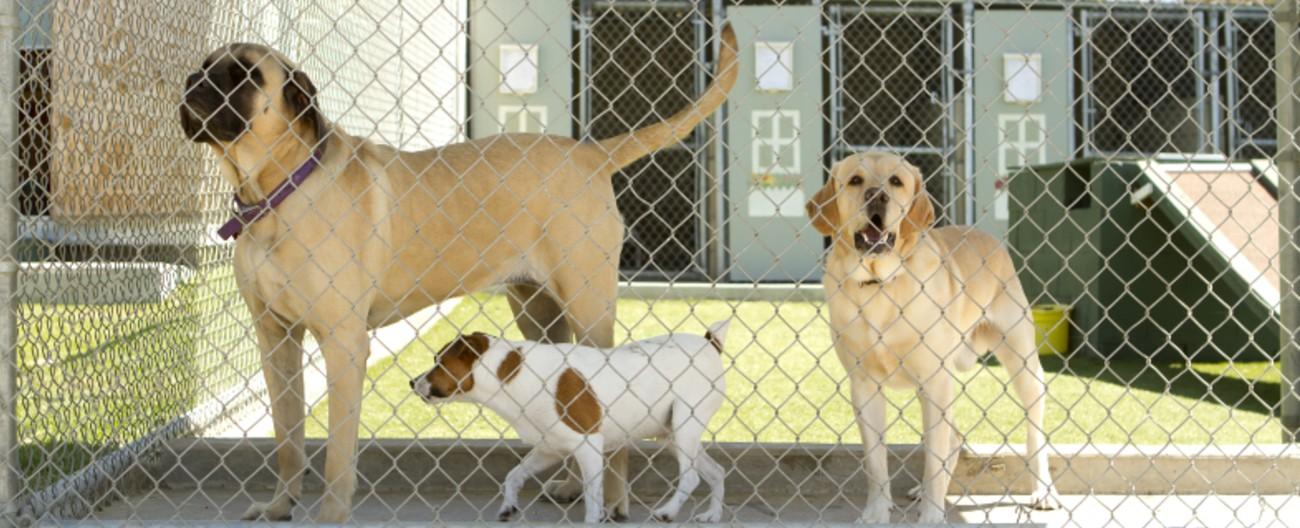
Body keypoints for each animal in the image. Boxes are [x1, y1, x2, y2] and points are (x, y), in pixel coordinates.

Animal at [178, 26, 738, 522]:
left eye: (244, 74)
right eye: (205, 65)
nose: (191, 82)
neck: (275, 194)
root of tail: (592, 152)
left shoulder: (343, 343)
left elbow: (338, 451)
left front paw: (332, 514)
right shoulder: (275, 340)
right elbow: (289, 438)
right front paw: (280, 506)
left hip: (588, 305)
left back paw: (616, 500)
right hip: (538, 310)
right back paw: (569, 481)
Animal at [806, 152, 1060, 522]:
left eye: (896, 181)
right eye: (854, 180)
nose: (876, 196)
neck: (880, 285)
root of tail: (985, 235)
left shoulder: (935, 381)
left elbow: (934, 461)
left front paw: (932, 515)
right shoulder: (865, 386)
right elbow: (876, 463)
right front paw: (877, 513)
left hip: (1023, 365)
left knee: (1033, 431)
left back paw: (1043, 490)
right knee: (954, 437)